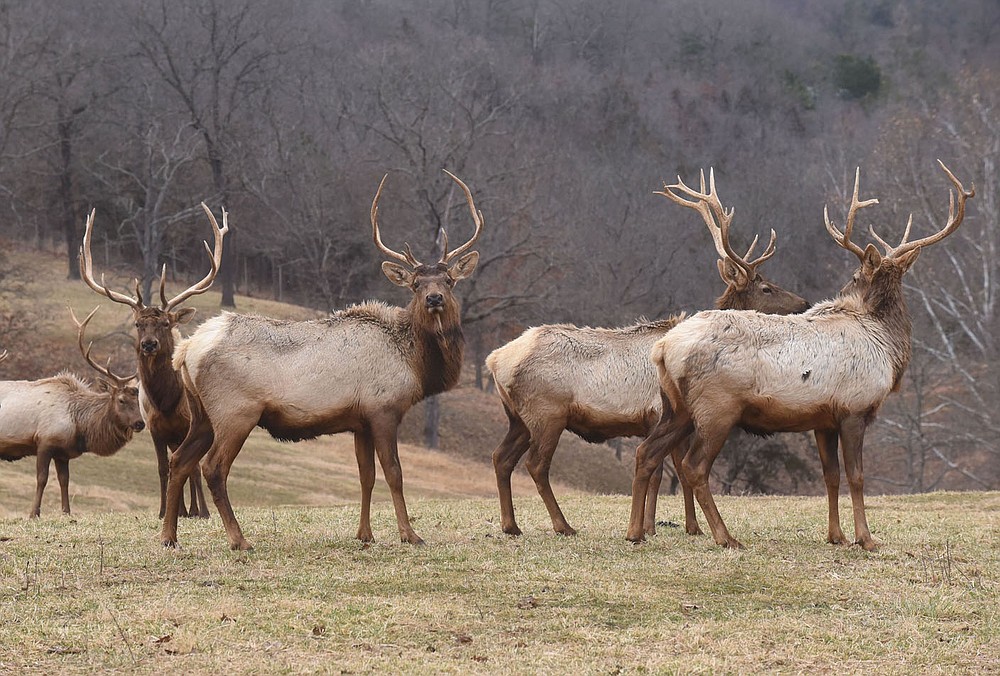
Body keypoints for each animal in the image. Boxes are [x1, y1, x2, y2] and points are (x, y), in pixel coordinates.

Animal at [0, 308, 145, 516]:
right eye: (121, 400)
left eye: (138, 401)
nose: (140, 423)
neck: (78, 426)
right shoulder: (44, 442)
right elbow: (42, 479)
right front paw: (34, 513)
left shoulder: (63, 452)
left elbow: (64, 480)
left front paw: (67, 512)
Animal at [80, 203, 229, 520]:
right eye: (138, 324)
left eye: (164, 323)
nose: (149, 344)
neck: (167, 403)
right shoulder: (155, 430)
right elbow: (164, 468)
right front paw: (165, 511)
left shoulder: (188, 425)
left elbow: (192, 468)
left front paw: (199, 511)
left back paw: (196, 509)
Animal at [158, 169, 482, 548]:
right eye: (415, 284)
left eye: (448, 280)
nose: (434, 298)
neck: (414, 362)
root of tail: (185, 350)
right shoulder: (383, 409)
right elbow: (394, 473)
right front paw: (409, 534)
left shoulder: (360, 421)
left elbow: (366, 476)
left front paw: (365, 534)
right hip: (235, 412)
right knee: (213, 467)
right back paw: (239, 539)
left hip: (201, 414)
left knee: (179, 460)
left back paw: (169, 537)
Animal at [488, 170, 808, 540]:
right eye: (766, 288)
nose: (803, 303)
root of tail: (495, 359)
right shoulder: (658, 412)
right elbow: (672, 471)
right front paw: (676, 527)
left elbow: (665, 473)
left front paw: (659, 525)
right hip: (546, 413)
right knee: (535, 464)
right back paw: (563, 525)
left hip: (517, 418)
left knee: (501, 457)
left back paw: (511, 525)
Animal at [628, 162, 972, 548]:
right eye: (856, 274)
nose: (839, 289)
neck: (887, 346)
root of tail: (663, 348)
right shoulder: (854, 408)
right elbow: (857, 476)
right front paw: (866, 539)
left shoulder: (823, 419)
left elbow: (830, 475)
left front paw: (836, 535)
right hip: (716, 408)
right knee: (693, 466)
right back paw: (725, 537)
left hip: (676, 407)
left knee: (646, 453)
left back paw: (635, 532)